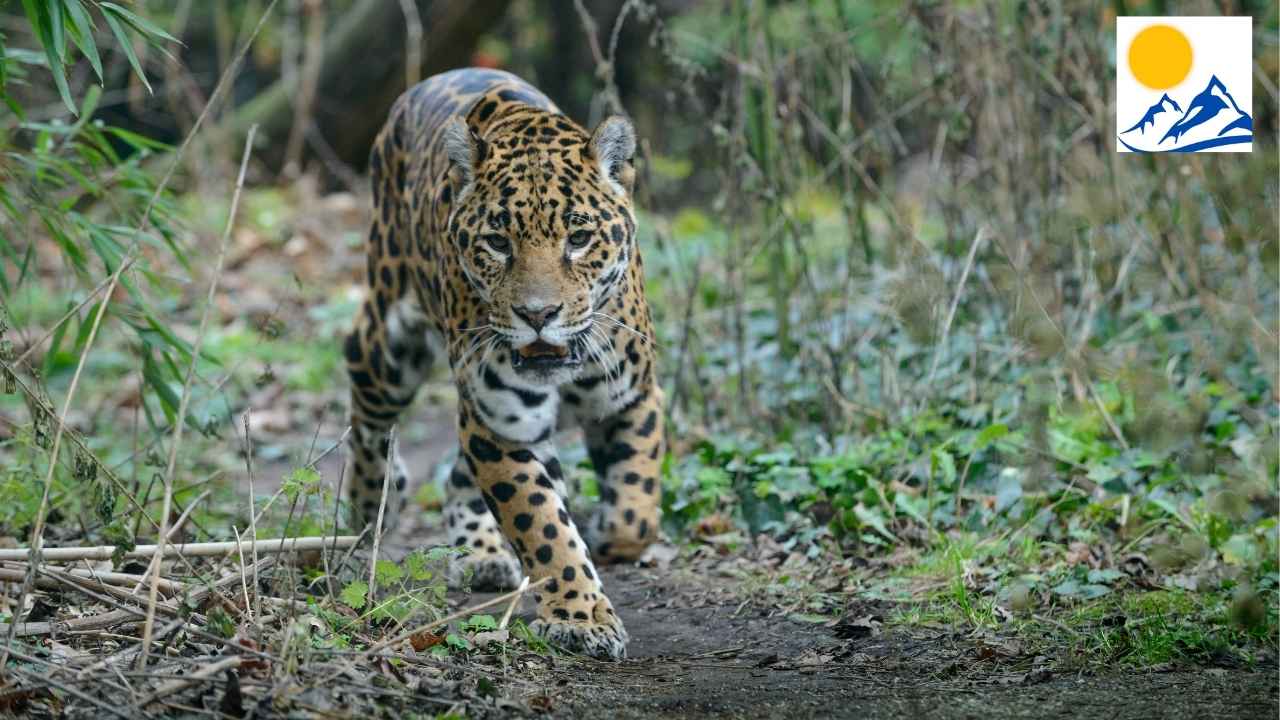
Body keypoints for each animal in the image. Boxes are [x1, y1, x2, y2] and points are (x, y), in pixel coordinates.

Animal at [342, 68, 663, 660]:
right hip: (388, 343)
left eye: (578, 238)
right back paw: (370, 512)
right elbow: (543, 525)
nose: (538, 314)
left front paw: (608, 536)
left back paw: (483, 553)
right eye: (497, 241)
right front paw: (582, 618)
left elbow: (637, 513)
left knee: (456, 476)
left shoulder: (633, 397)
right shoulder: (501, 424)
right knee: (367, 411)